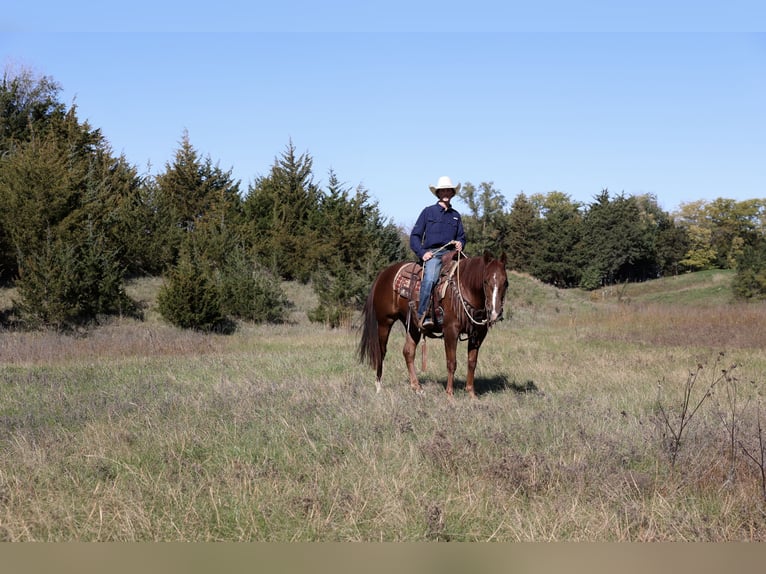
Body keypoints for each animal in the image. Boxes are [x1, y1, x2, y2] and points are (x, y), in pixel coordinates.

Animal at [358, 251, 508, 398]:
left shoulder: (478, 334)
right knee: (381, 351)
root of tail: (383, 274)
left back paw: (417, 388)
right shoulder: (450, 331)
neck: (465, 288)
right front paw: (449, 395)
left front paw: (471, 394)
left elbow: (472, 362)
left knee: (408, 352)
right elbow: (451, 363)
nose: (495, 312)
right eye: (485, 281)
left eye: (506, 282)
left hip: (413, 326)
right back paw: (378, 386)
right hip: (385, 322)